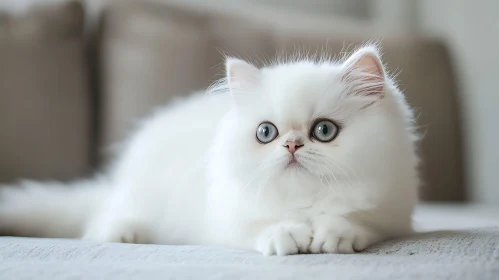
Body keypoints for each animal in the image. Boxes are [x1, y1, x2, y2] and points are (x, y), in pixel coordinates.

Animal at [1, 45, 420, 256]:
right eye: (266, 133)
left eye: (324, 131)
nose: (291, 144)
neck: (302, 204)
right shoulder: (226, 217)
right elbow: (260, 226)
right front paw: (286, 237)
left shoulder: (391, 213)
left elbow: (355, 220)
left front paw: (333, 236)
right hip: (135, 198)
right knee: (102, 219)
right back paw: (125, 234)